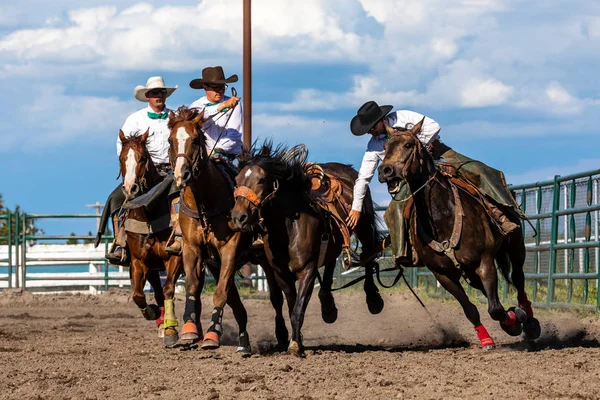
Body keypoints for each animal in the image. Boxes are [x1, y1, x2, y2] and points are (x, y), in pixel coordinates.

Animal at [116, 130, 183, 346]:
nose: (131, 189)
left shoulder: (174, 257)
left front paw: (171, 330)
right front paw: (154, 313)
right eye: (121, 158)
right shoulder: (139, 262)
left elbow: (169, 289)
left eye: (143, 158)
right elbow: (138, 295)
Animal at [166, 107, 282, 354]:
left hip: (266, 261)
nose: (183, 174)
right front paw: (189, 331)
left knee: (275, 297)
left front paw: (211, 335)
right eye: (171, 141)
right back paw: (243, 343)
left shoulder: (230, 249)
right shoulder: (192, 249)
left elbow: (220, 293)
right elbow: (193, 287)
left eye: (196, 139)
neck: (205, 203)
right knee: (236, 302)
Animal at [232, 143, 382, 356]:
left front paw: (295, 345)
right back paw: (328, 307)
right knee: (331, 263)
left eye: (261, 179)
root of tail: (347, 169)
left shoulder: (307, 271)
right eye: (237, 180)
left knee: (369, 256)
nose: (238, 217)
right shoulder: (281, 275)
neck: (289, 229)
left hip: (364, 226)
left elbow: (298, 309)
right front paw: (297, 340)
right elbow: (291, 306)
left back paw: (373, 300)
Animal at [378, 119, 540, 350]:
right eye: (385, 147)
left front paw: (514, 321)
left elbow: (494, 309)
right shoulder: (443, 274)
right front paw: (488, 338)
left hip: (515, 245)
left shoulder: (484, 261)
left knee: (518, 279)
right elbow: (471, 310)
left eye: (408, 144)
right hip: (469, 272)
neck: (443, 216)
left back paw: (530, 320)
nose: (386, 171)